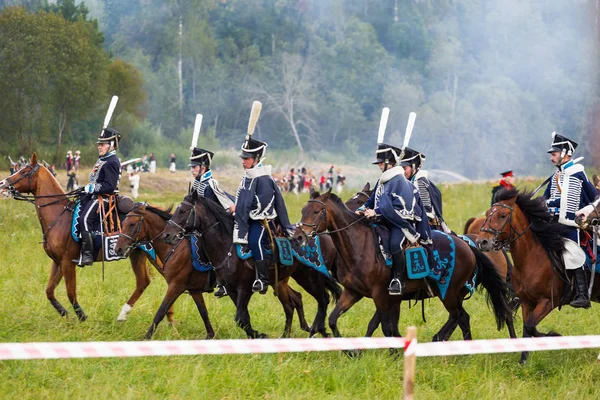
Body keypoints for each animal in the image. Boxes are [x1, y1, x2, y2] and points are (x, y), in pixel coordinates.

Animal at [0, 153, 166, 322]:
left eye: (23, 171)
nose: (3, 184)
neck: (60, 217)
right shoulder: (58, 262)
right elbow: (49, 291)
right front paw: (65, 313)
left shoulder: (68, 263)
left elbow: (71, 293)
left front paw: (82, 317)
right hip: (138, 255)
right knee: (143, 282)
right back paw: (127, 314)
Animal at [114, 203, 316, 338]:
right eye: (123, 223)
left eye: (131, 224)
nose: (118, 249)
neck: (175, 248)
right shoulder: (193, 290)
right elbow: (203, 312)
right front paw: (210, 334)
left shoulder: (176, 286)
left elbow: (160, 312)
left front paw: (146, 337)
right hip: (279, 282)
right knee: (296, 298)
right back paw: (301, 328)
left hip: (278, 282)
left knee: (290, 303)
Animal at [159, 192, 342, 340]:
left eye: (183, 211)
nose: (167, 235)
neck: (227, 247)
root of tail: (323, 234)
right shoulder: (231, 289)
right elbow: (243, 319)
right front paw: (256, 335)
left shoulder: (244, 288)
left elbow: (240, 317)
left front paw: (259, 335)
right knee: (298, 302)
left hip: (311, 277)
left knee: (322, 299)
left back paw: (318, 331)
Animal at [292, 189, 512, 342]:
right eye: (302, 210)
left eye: (317, 211)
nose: (299, 236)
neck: (360, 246)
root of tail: (469, 246)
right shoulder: (354, 292)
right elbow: (334, 319)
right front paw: (351, 351)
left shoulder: (381, 294)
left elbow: (385, 327)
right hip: (451, 295)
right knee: (460, 318)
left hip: (448, 293)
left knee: (461, 317)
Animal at [474, 188, 600, 362]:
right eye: (487, 214)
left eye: (503, 215)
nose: (482, 242)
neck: (531, 258)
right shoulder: (527, 302)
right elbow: (527, 329)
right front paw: (523, 361)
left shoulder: (547, 302)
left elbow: (530, 326)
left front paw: (555, 336)